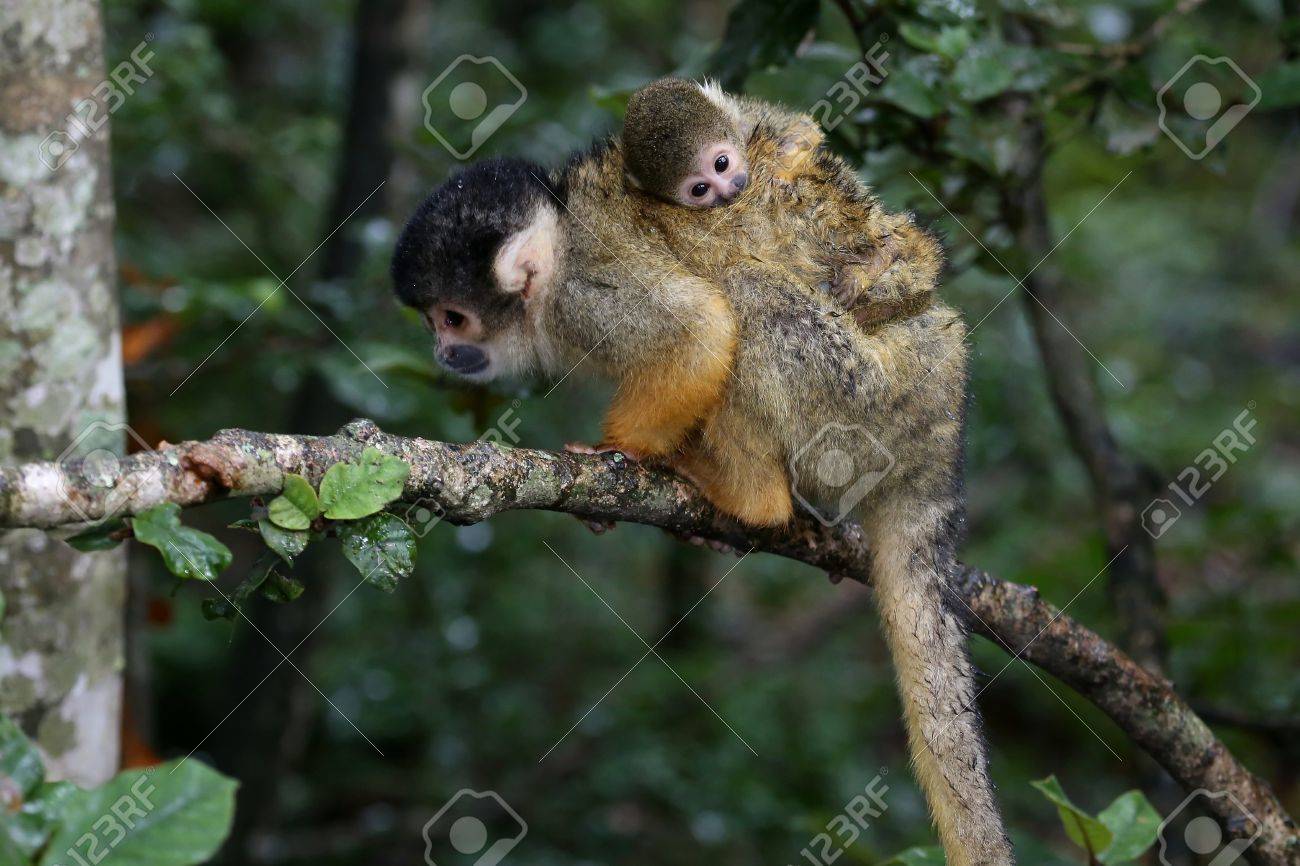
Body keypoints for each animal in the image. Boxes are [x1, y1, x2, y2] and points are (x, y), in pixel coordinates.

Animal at [618, 77, 935, 328]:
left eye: (721, 163)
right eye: (700, 189)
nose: (731, 189)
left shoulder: (751, 114)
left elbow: (804, 129)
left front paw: (777, 164)